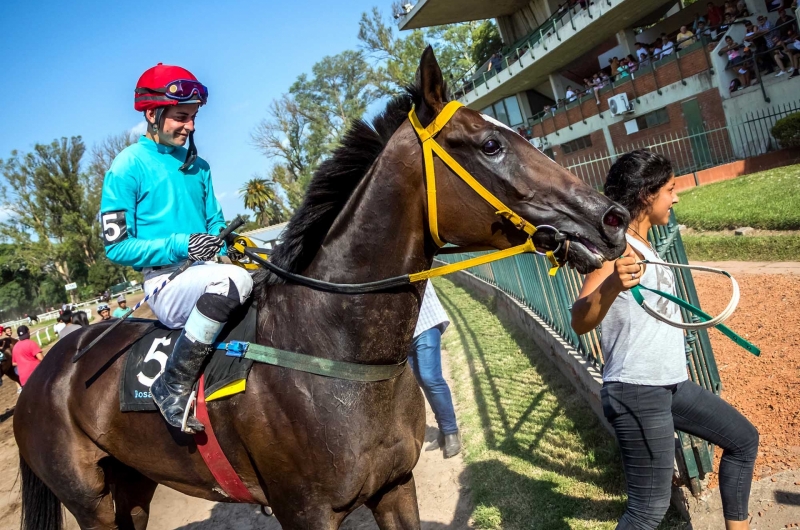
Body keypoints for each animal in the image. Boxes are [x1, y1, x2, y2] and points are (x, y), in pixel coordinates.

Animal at [10, 47, 624, 524]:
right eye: (491, 146)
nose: (611, 217)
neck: (332, 351)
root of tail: (45, 370)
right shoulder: (304, 512)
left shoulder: (395, 487)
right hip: (90, 501)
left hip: (133, 482)